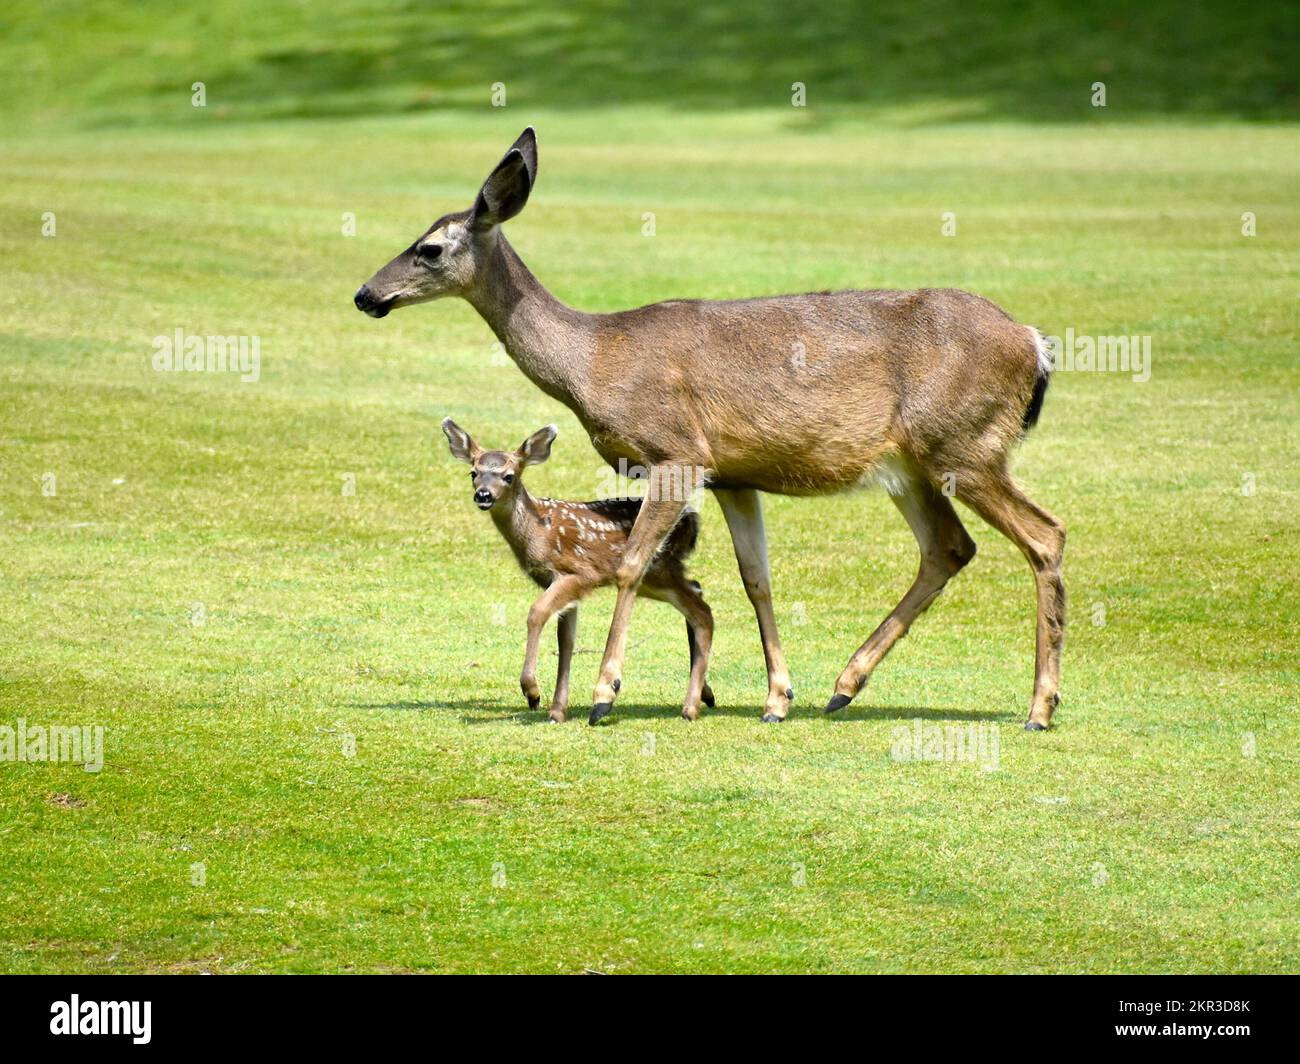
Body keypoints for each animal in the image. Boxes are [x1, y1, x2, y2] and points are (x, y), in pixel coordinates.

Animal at [356, 128, 1066, 728]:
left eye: (429, 248)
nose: (366, 295)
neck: (595, 360)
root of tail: (1035, 344)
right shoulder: (733, 474)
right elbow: (757, 579)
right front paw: (777, 698)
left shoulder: (678, 452)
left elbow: (632, 564)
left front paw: (603, 694)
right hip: (913, 466)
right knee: (950, 547)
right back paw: (843, 686)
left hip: (965, 444)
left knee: (1045, 535)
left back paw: (1040, 706)